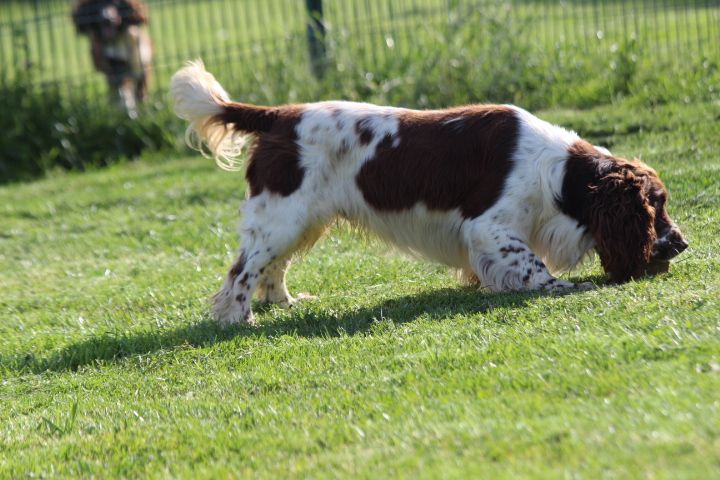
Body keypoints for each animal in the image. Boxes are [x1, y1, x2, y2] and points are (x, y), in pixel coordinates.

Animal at [169, 62, 688, 326]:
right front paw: (563, 287)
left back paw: (285, 303)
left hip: (302, 221)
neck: (560, 174)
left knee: (272, 268)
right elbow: (533, 266)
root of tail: (277, 115)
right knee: (242, 272)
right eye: (656, 203)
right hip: (282, 217)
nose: (682, 243)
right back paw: (239, 320)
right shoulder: (488, 226)